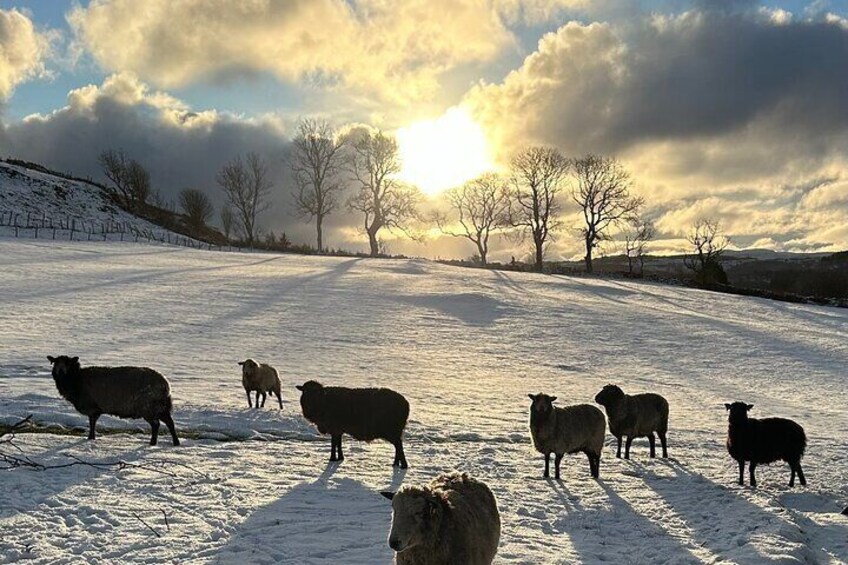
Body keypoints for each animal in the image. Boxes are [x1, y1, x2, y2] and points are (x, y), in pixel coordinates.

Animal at [47, 356, 180, 446]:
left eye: (68, 363)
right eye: (55, 363)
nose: (60, 372)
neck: (77, 380)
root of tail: (165, 385)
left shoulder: (92, 407)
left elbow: (92, 423)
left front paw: (90, 438)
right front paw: (91, 438)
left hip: (148, 407)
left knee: (156, 424)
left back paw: (153, 443)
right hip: (160, 406)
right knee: (170, 423)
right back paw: (175, 442)